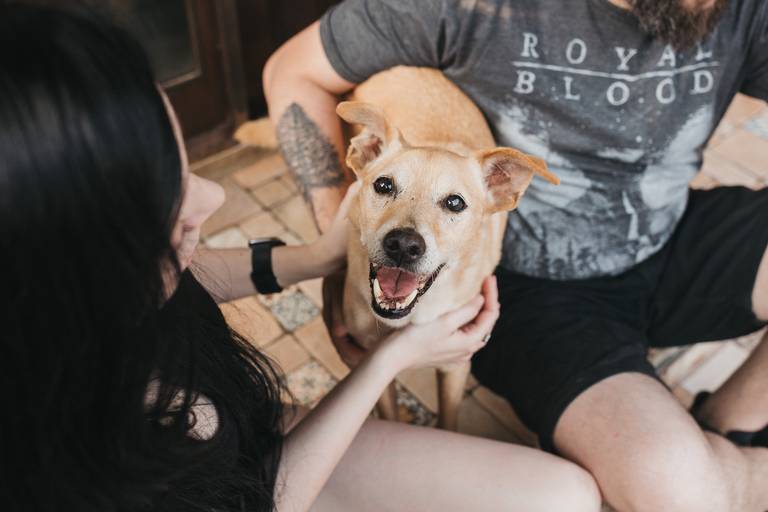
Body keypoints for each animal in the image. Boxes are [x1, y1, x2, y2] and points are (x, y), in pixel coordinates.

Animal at [337, 67, 558, 430]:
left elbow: (449, 417)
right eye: (383, 185)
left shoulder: (456, 365)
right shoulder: (370, 366)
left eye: (455, 203)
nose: (403, 245)